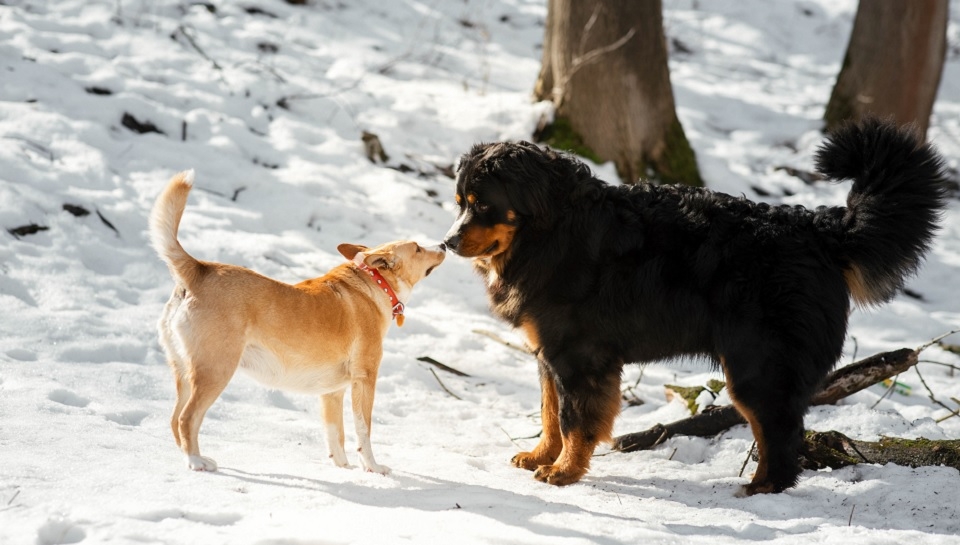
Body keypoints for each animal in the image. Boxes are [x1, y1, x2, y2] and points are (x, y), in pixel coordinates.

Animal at [150, 170, 446, 472]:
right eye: (418, 248)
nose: (445, 244)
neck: (375, 283)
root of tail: (199, 270)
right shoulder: (365, 380)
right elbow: (364, 431)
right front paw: (372, 468)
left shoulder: (332, 392)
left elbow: (335, 436)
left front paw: (344, 469)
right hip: (216, 369)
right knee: (187, 418)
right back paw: (196, 461)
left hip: (184, 371)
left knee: (174, 419)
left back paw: (193, 456)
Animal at [442, 119, 944, 492]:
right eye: (460, 202)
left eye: (482, 205)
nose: (447, 242)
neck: (550, 230)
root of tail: (821, 230)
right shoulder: (549, 355)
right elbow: (549, 414)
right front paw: (540, 457)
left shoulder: (579, 357)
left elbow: (573, 421)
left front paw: (565, 471)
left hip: (757, 367)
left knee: (781, 433)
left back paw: (763, 488)